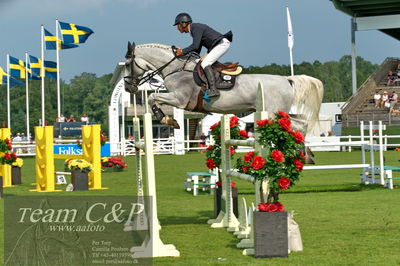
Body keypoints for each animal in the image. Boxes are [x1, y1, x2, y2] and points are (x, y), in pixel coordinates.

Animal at [123, 42, 324, 136]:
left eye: (127, 64)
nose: (128, 87)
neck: (176, 69)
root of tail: (286, 80)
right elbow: (153, 99)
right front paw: (169, 120)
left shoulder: (179, 99)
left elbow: (152, 99)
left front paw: (168, 120)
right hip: (278, 112)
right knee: (301, 123)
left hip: (274, 112)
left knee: (299, 125)